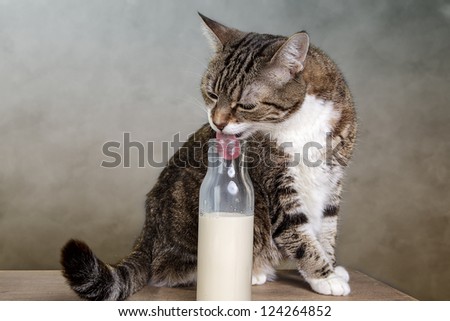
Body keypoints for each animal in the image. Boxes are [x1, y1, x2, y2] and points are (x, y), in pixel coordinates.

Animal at [59, 13, 356, 298]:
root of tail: (147, 233)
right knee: (169, 271)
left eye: (246, 105)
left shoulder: (333, 175)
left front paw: (331, 267)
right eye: (211, 94)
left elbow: (327, 226)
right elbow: (298, 234)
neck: (299, 121)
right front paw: (324, 277)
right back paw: (253, 272)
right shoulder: (275, 186)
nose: (218, 122)